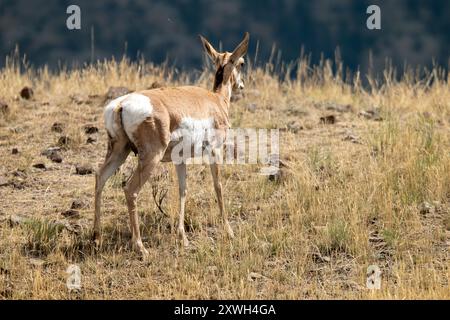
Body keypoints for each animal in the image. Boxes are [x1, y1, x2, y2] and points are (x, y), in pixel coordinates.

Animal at [94, 32, 250, 258]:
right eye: (242, 63)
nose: (241, 85)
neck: (215, 99)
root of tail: (121, 105)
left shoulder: (180, 160)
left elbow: (183, 190)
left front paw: (182, 237)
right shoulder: (214, 151)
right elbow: (218, 186)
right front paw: (229, 231)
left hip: (119, 151)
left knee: (100, 177)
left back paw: (96, 238)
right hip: (150, 157)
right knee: (130, 189)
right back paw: (140, 247)